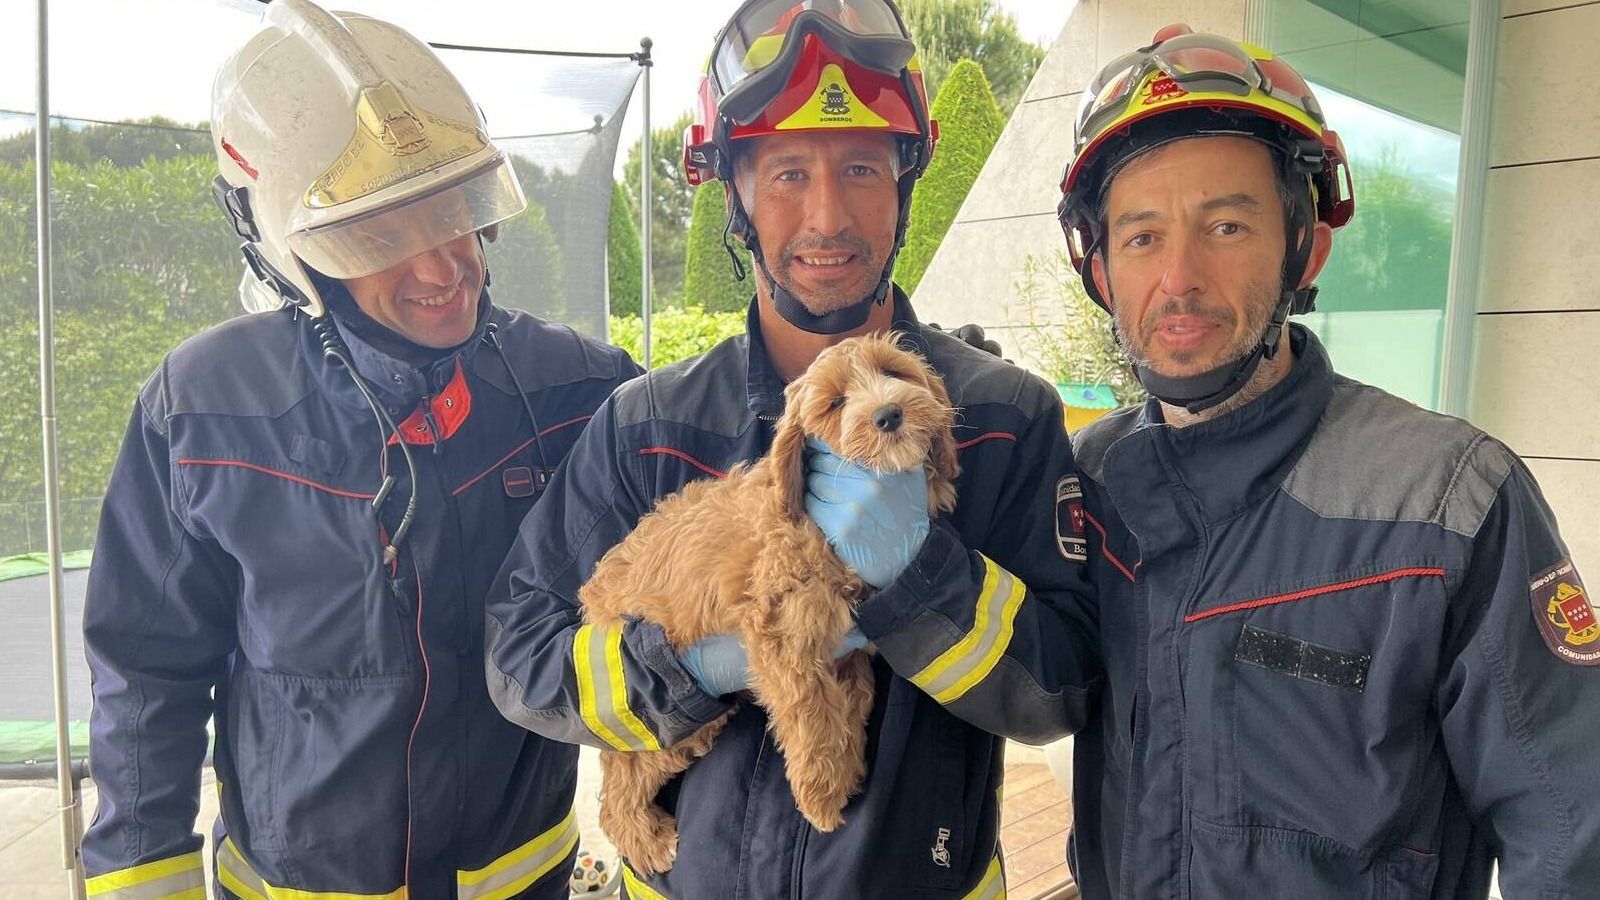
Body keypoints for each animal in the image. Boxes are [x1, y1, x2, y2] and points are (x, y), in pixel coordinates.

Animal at [588, 329, 960, 871]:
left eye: (894, 372)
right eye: (835, 403)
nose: (889, 414)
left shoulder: (845, 651)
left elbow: (852, 705)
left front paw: (846, 770)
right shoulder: (783, 632)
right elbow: (812, 714)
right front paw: (821, 795)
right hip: (658, 712)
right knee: (620, 782)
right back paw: (647, 840)